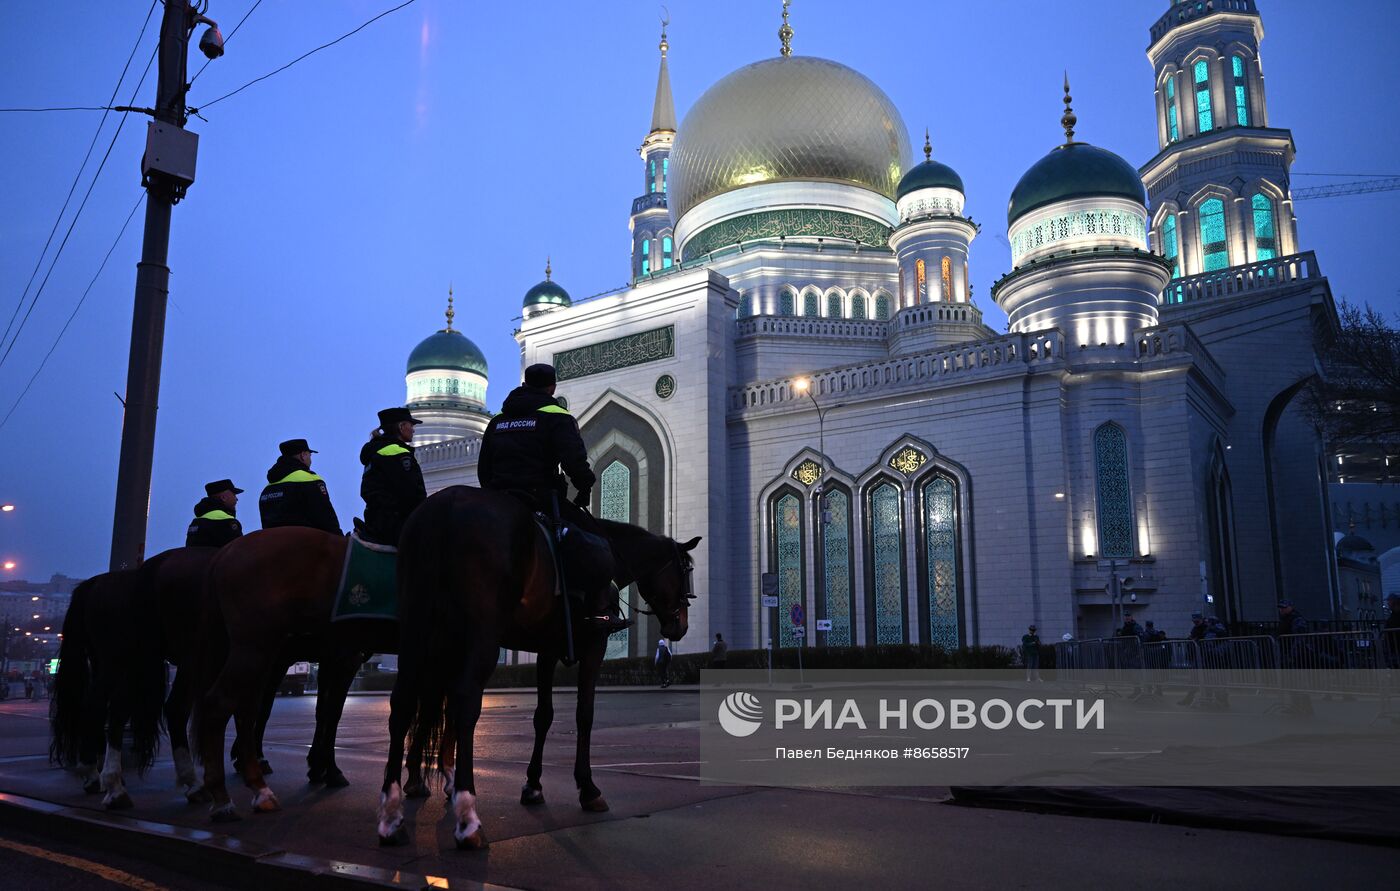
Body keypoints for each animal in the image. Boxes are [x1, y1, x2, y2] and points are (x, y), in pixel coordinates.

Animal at [375, 487, 697, 851]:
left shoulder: (547, 649)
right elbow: (584, 714)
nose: (680, 627)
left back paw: (393, 812)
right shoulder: (594, 644)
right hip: (480, 630)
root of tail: (446, 504)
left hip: (418, 625)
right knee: (465, 700)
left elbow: (543, 715)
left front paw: (532, 785)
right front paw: (588, 788)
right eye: (685, 572)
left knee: (405, 702)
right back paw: (467, 814)